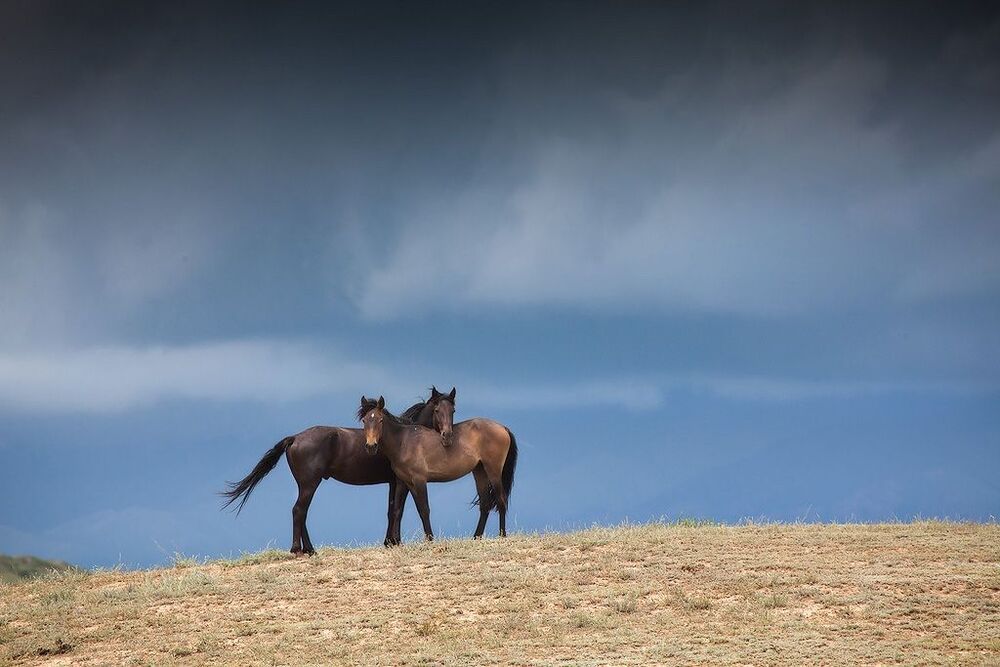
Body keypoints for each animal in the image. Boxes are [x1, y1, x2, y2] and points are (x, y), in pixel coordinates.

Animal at [221, 387, 457, 553]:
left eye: (452, 410)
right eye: (437, 410)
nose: (447, 435)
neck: (403, 435)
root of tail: (295, 438)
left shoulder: (392, 482)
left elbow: (390, 510)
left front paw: (389, 541)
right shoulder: (401, 482)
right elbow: (398, 509)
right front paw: (395, 542)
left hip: (305, 484)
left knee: (302, 512)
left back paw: (310, 549)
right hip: (310, 483)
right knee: (298, 510)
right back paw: (298, 550)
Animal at [359, 395, 518, 542]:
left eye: (380, 420)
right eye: (364, 421)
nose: (371, 446)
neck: (403, 441)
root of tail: (503, 428)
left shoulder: (420, 480)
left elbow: (425, 509)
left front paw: (430, 539)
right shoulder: (407, 482)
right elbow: (415, 509)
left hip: (494, 471)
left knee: (501, 499)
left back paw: (502, 535)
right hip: (479, 471)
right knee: (485, 504)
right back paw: (476, 537)